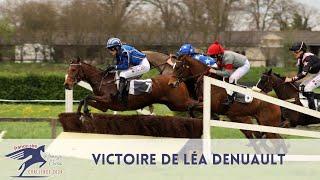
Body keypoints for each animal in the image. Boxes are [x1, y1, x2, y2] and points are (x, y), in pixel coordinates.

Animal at [63, 57, 201, 117]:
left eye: (73, 70)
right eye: (68, 69)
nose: (66, 84)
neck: (104, 81)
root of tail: (177, 80)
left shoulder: (107, 99)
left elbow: (87, 96)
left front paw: (85, 111)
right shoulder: (104, 106)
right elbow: (84, 99)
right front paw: (80, 112)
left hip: (179, 102)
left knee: (197, 104)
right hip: (174, 105)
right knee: (194, 105)